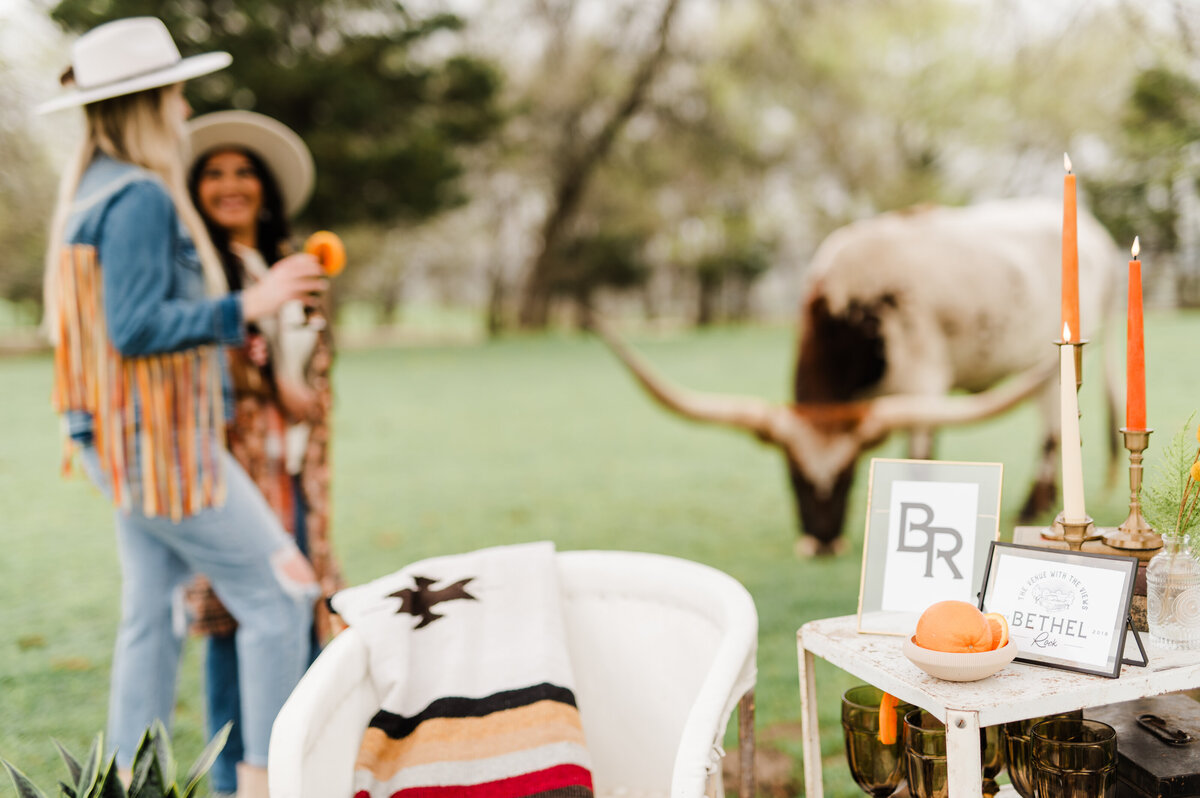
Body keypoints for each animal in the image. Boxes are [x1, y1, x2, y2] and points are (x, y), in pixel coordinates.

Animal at [595, 195, 1118, 552]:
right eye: (792, 476)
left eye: (847, 476)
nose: (823, 541)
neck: (849, 303)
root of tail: (1098, 234)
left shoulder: (923, 376)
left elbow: (920, 456)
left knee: (1051, 427)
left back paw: (1033, 503)